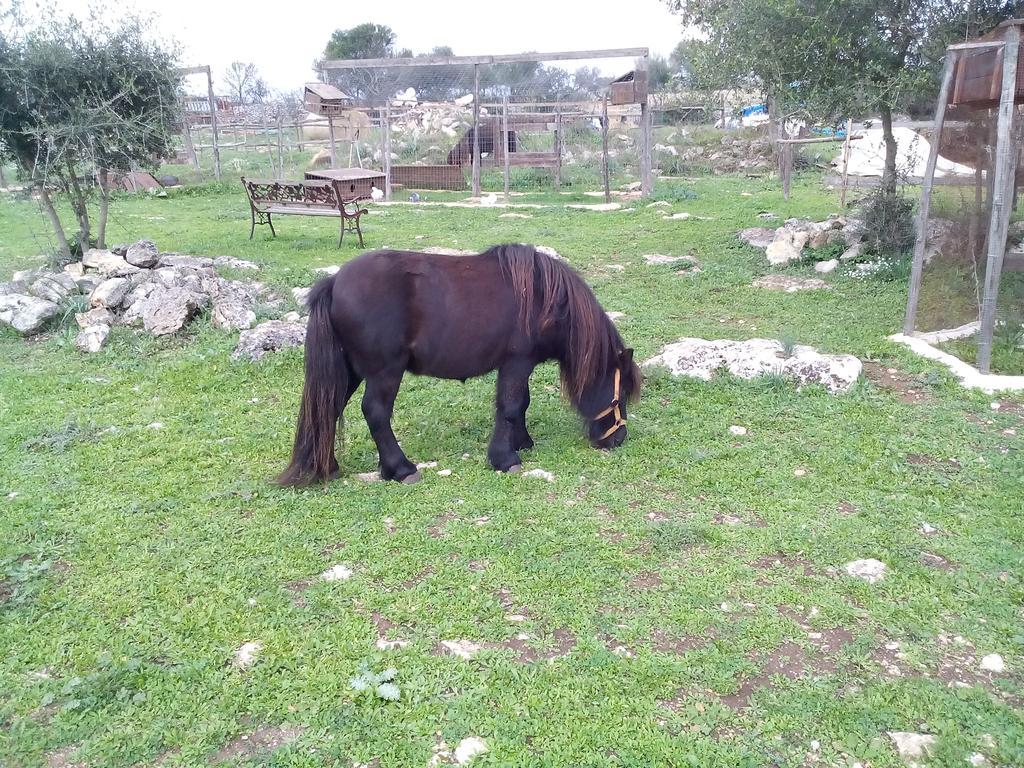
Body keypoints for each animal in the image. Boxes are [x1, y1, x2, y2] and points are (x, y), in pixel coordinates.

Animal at [276, 243, 634, 483]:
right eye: (619, 397)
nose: (618, 439)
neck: (543, 298)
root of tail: (334, 282)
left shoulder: (520, 366)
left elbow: (521, 404)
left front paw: (522, 442)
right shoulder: (517, 363)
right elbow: (510, 406)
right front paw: (505, 458)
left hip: (349, 371)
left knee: (328, 408)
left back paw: (328, 467)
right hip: (384, 372)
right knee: (375, 413)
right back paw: (401, 468)